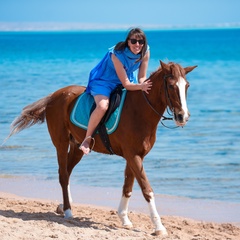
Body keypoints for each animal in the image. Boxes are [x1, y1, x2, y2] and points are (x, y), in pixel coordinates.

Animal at [8, 61, 197, 235]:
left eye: (187, 86)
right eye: (171, 86)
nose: (183, 117)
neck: (139, 111)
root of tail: (54, 96)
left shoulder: (135, 156)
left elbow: (128, 187)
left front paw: (124, 219)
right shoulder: (133, 156)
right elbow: (147, 189)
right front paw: (159, 227)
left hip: (77, 147)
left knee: (67, 173)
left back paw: (63, 205)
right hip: (60, 144)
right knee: (63, 174)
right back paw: (68, 211)